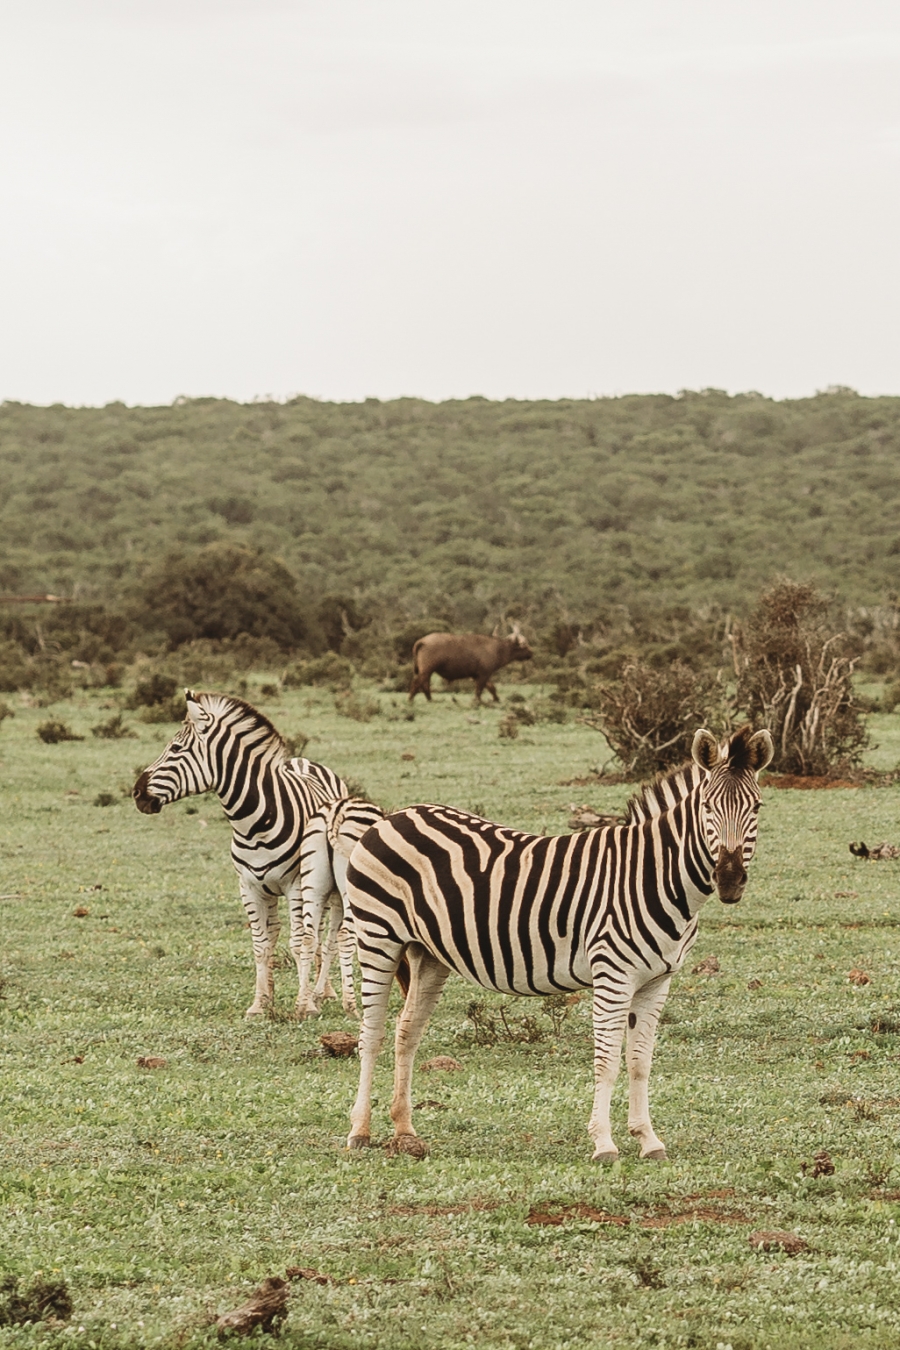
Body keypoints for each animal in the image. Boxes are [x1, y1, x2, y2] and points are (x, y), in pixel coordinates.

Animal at [132, 691, 348, 1015]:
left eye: (176, 748)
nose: (136, 793)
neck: (256, 823)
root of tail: (303, 760)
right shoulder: (248, 886)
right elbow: (261, 944)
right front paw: (260, 1004)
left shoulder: (296, 885)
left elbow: (300, 942)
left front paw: (304, 1004)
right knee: (291, 932)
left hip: (325, 884)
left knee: (325, 934)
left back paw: (323, 991)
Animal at [292, 793, 383, 1015]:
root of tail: (337, 809)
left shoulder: (335, 903)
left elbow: (329, 946)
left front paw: (316, 997)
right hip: (350, 892)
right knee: (344, 936)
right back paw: (351, 1006)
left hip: (314, 888)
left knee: (308, 938)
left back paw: (301, 1005)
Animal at [345, 729, 777, 1161]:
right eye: (707, 806)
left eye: (756, 807)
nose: (729, 880)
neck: (653, 875)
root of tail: (394, 816)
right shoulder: (613, 973)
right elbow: (607, 1061)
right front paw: (604, 1142)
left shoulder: (657, 981)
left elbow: (640, 1062)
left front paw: (648, 1139)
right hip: (378, 937)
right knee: (372, 1033)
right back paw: (360, 1131)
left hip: (429, 953)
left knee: (407, 1033)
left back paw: (405, 1130)